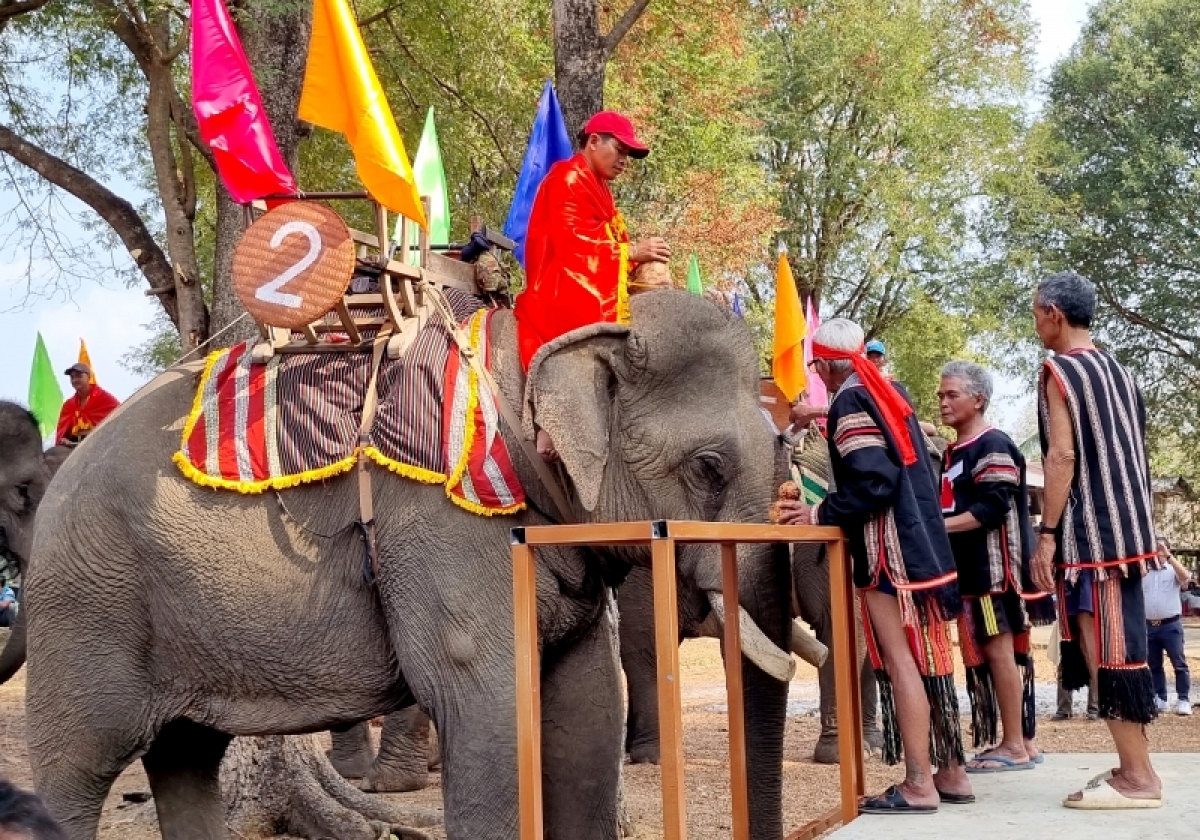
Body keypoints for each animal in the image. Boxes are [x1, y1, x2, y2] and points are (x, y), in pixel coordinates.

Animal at [18, 290, 796, 840]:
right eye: (708, 468)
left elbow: (586, 709)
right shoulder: (444, 528)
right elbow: (488, 707)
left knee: (186, 756)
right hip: (84, 604)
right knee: (78, 767)